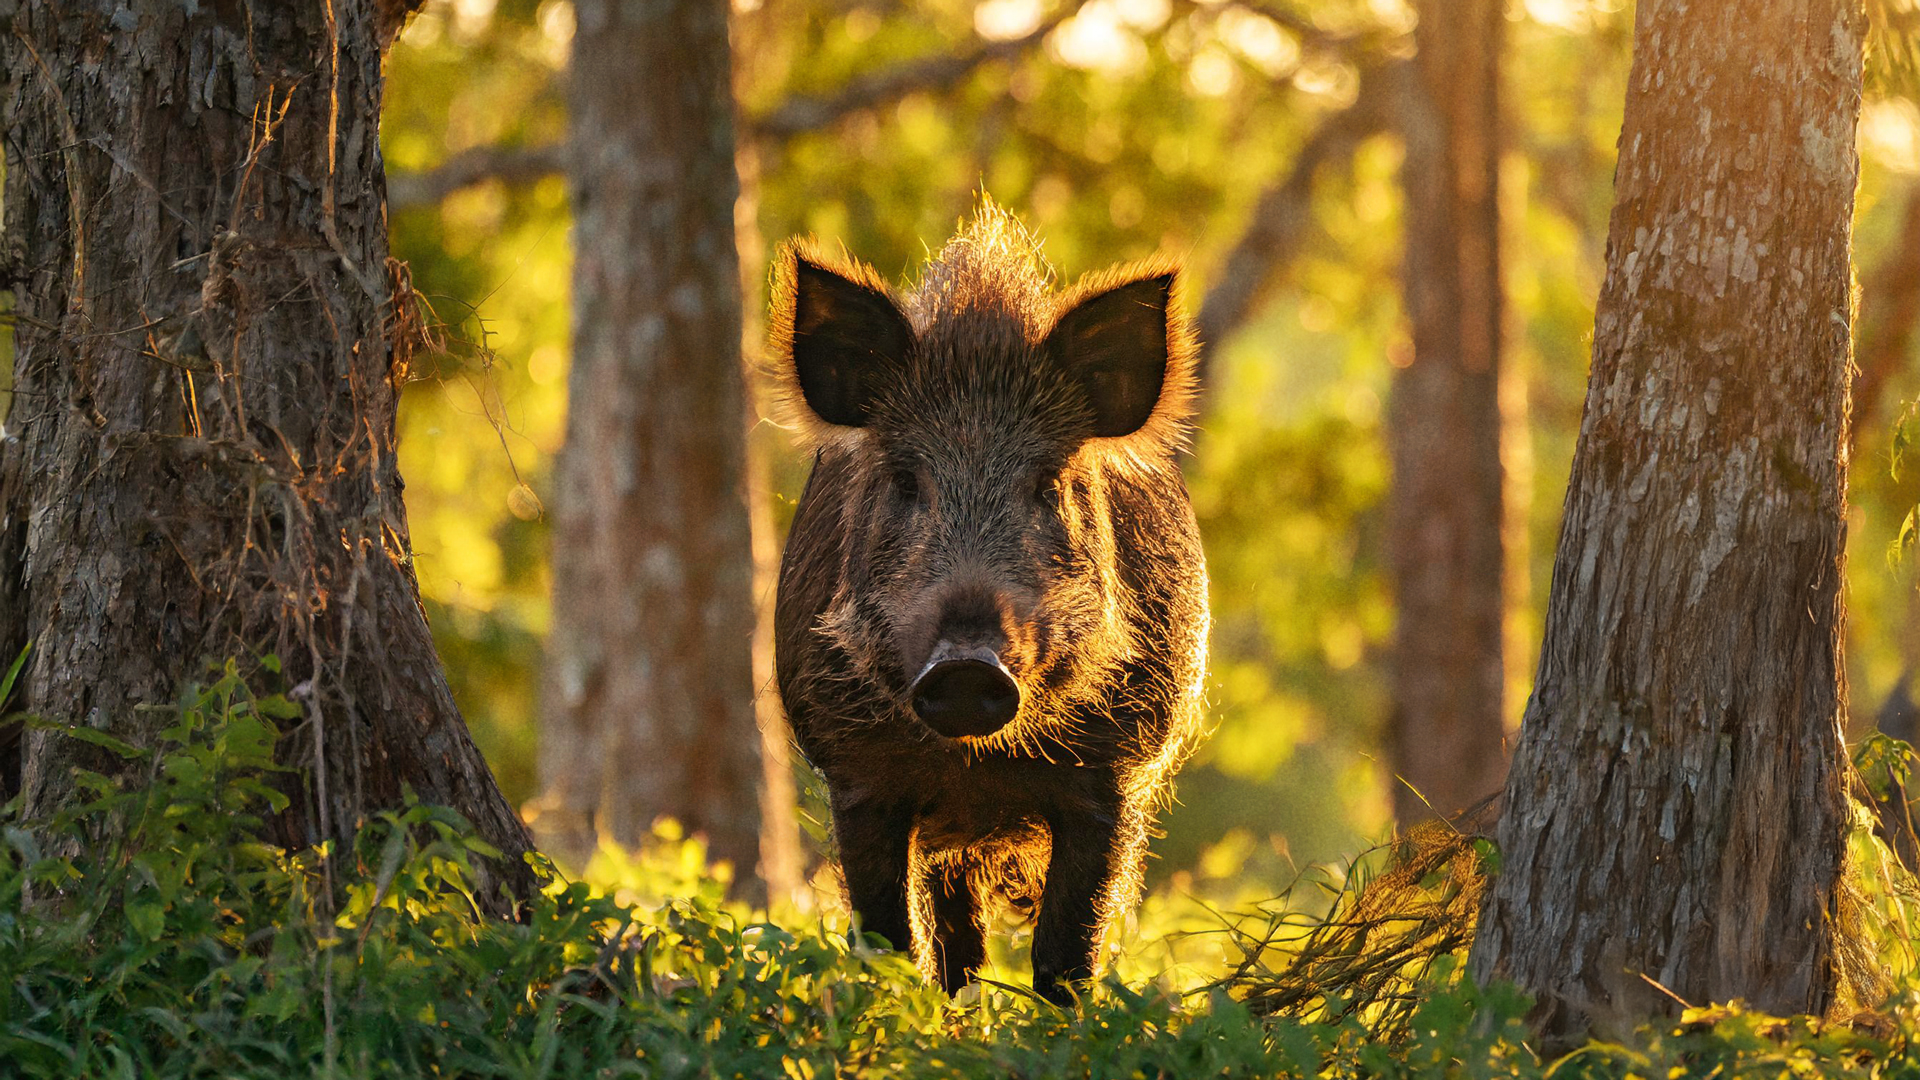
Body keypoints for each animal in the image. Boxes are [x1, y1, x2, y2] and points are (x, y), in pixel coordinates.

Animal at [769, 204, 1209, 1005]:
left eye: (1049, 484)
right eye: (905, 480)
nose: (967, 667)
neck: (979, 766)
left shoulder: (1111, 780)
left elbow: (1067, 954)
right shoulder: (857, 777)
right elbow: (889, 941)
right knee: (958, 948)